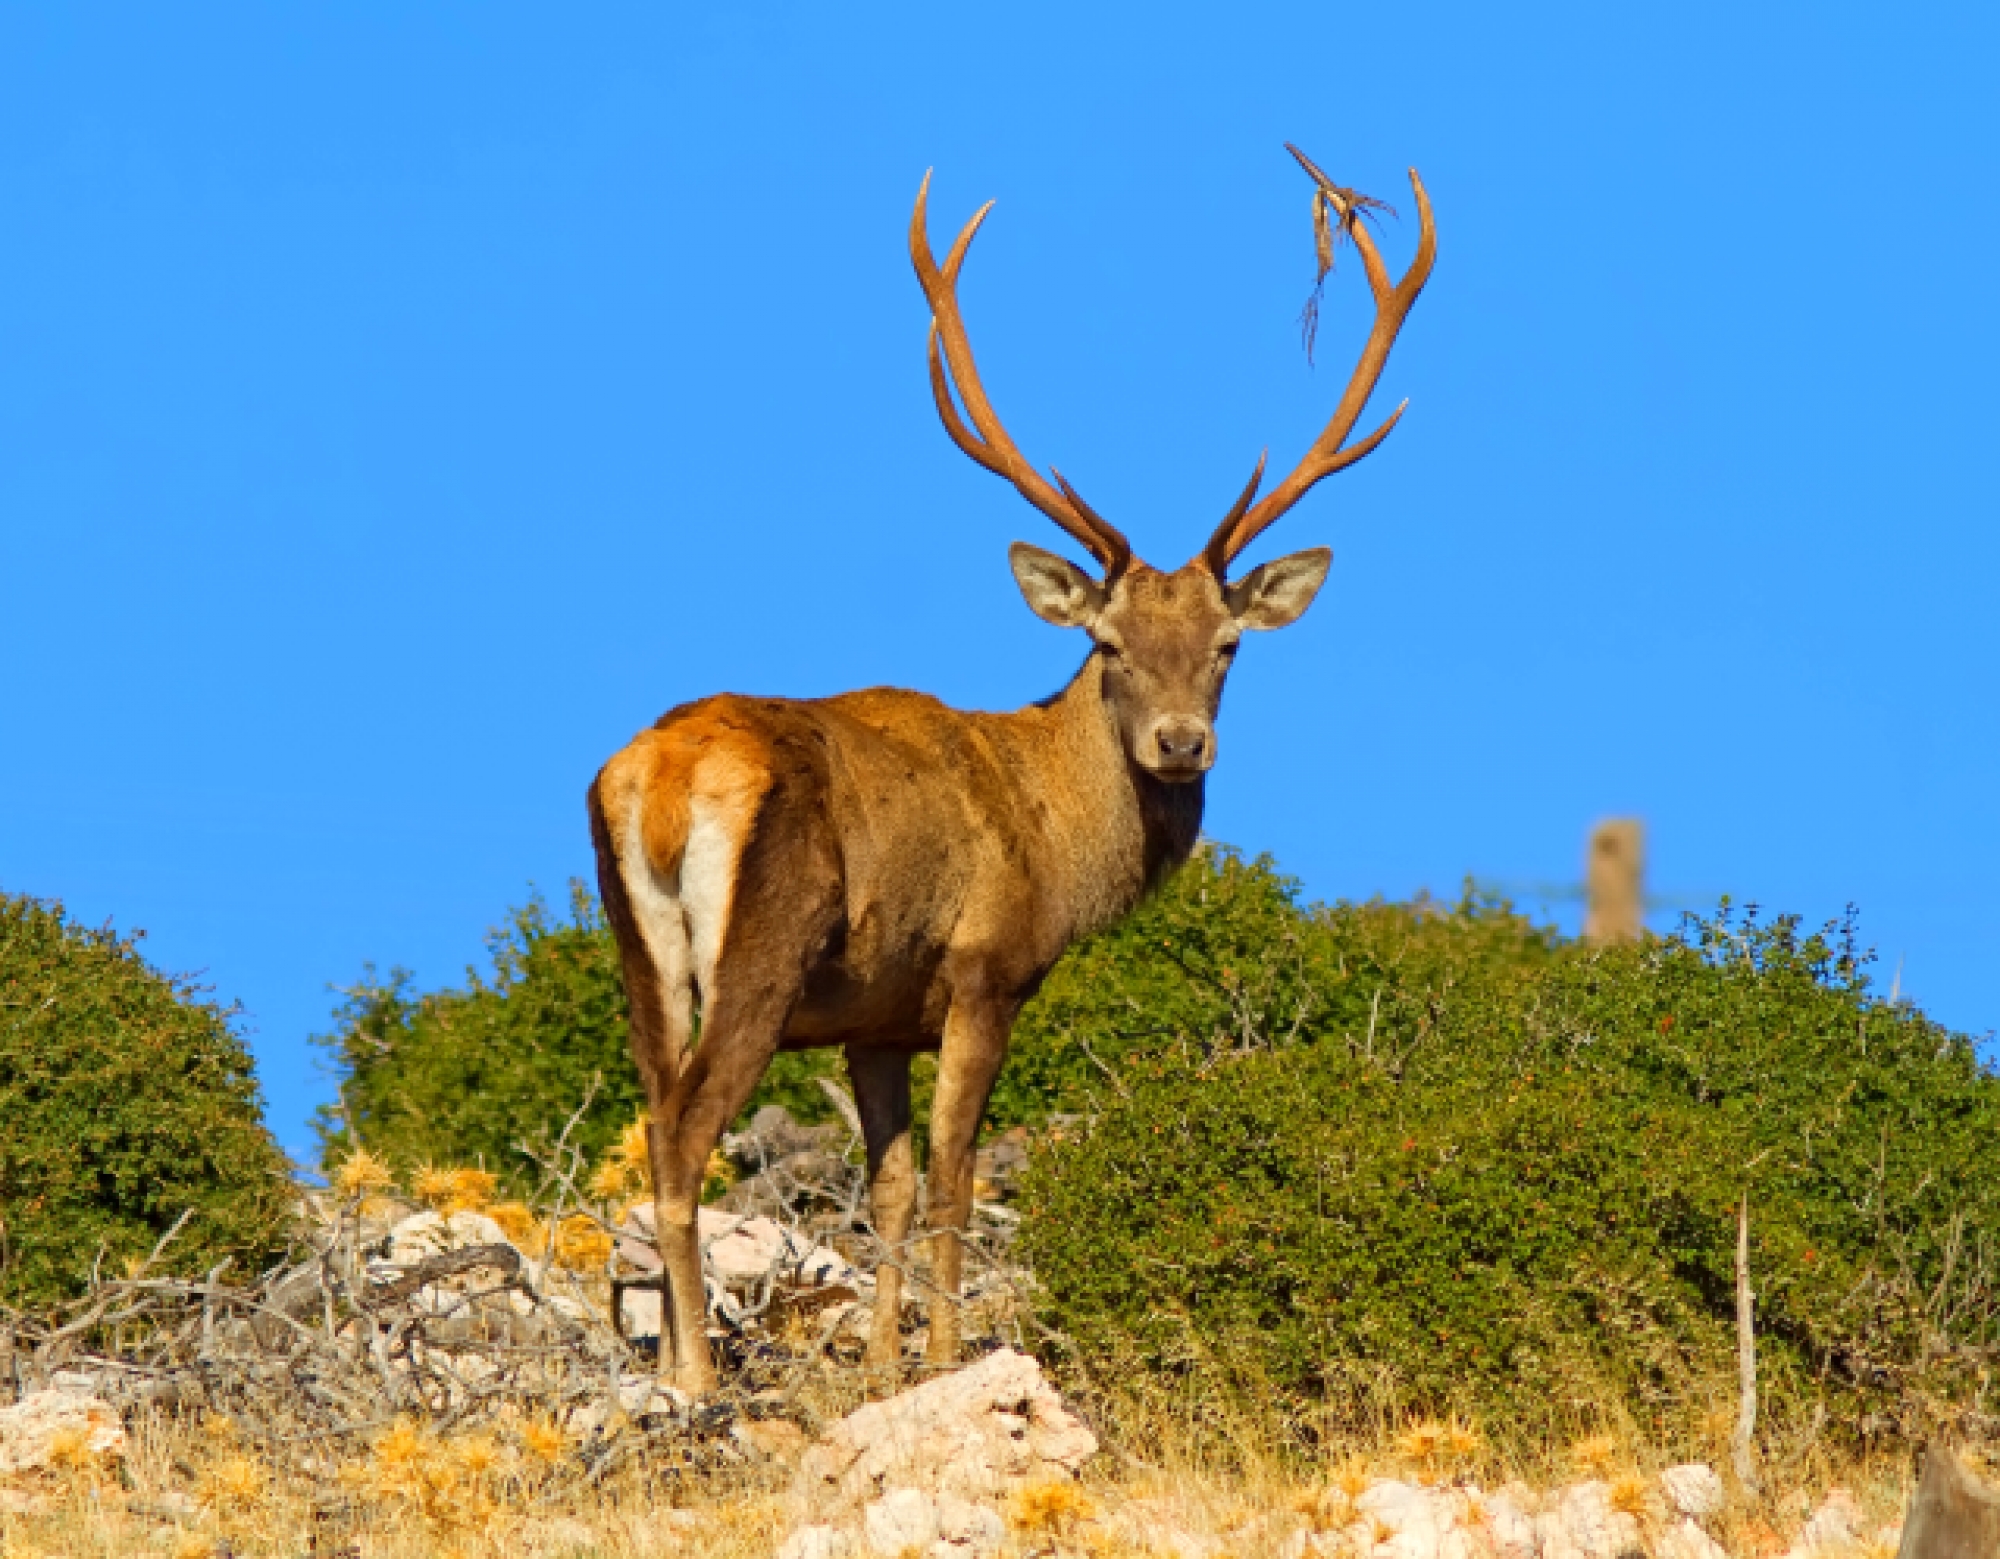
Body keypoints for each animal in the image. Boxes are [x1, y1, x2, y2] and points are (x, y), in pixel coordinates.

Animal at [584, 142, 1432, 1391]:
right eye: (1107, 644)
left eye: (1226, 645)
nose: (1179, 741)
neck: (1053, 838)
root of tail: (662, 780)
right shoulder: (985, 968)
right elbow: (953, 1177)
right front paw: (943, 1359)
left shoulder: (877, 1016)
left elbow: (886, 1188)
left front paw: (880, 1364)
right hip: (762, 950)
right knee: (688, 1132)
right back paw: (691, 1374)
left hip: (639, 951)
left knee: (649, 1115)